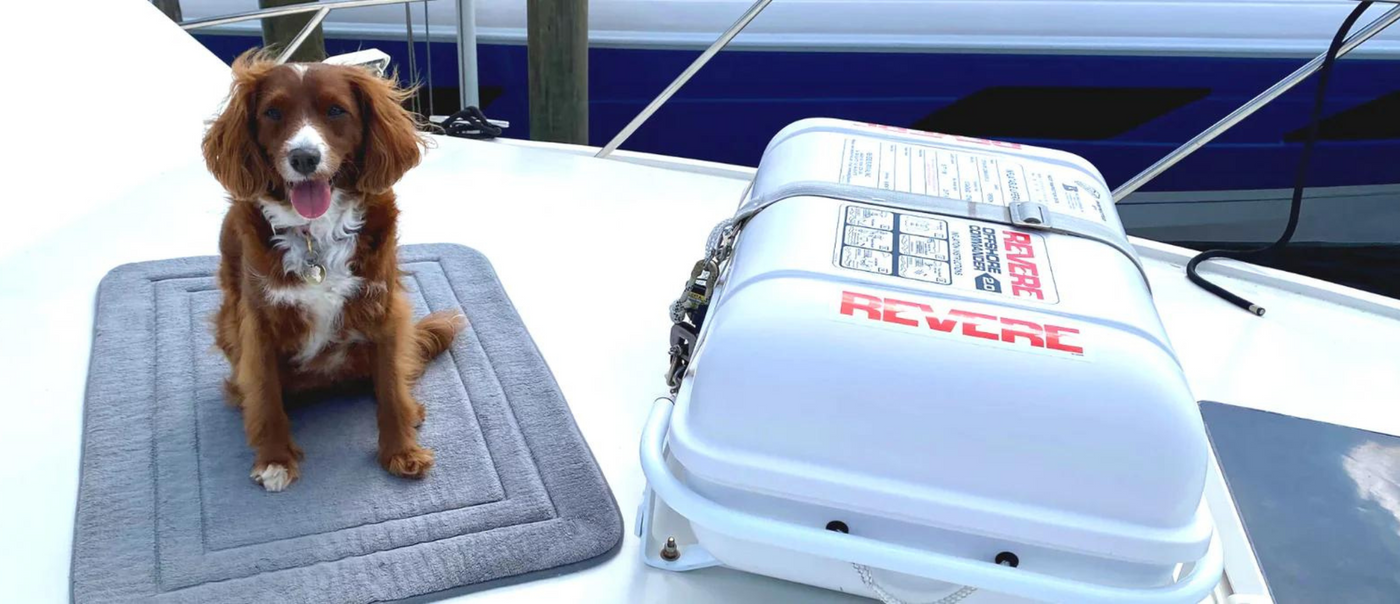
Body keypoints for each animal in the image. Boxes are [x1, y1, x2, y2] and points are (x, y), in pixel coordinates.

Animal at [201, 50, 459, 493]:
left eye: (336, 110)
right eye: (272, 113)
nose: (304, 158)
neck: (315, 237)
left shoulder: (383, 307)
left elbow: (391, 386)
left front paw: (401, 451)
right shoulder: (257, 321)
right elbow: (265, 393)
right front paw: (275, 459)